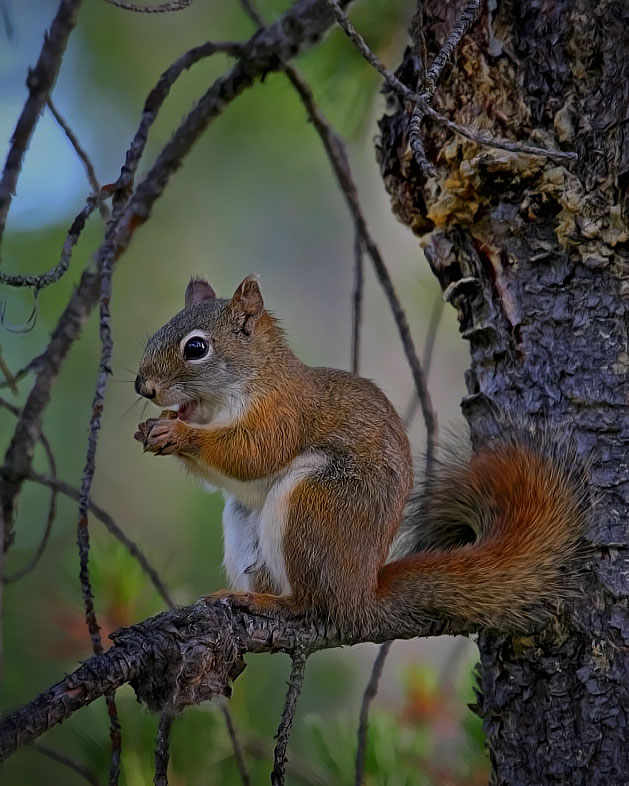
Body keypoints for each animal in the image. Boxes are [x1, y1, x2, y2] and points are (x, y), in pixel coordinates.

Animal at [134, 272, 588, 632]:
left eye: (196, 349)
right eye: (155, 335)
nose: (144, 386)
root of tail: (360, 595)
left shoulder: (285, 414)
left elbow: (252, 454)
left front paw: (178, 433)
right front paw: (151, 428)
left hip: (315, 507)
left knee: (312, 604)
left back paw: (268, 602)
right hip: (247, 524)